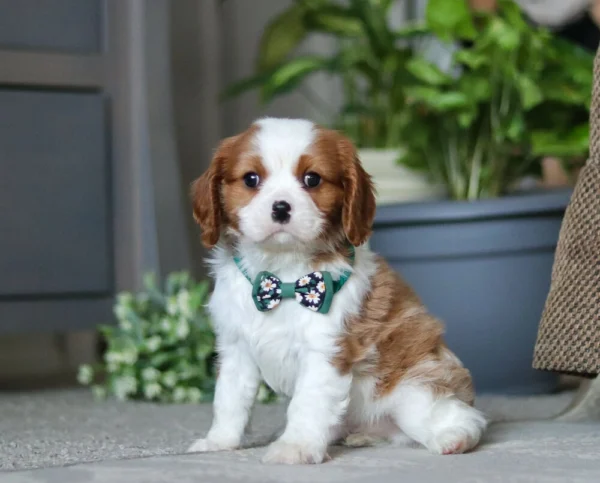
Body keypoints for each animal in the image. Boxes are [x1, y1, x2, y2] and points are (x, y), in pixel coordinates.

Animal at [189, 117, 488, 466]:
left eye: (312, 179)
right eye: (251, 179)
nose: (281, 208)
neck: (283, 277)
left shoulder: (326, 350)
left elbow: (306, 403)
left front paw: (295, 447)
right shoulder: (236, 349)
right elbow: (230, 399)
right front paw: (220, 441)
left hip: (413, 390)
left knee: (460, 416)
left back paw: (454, 437)